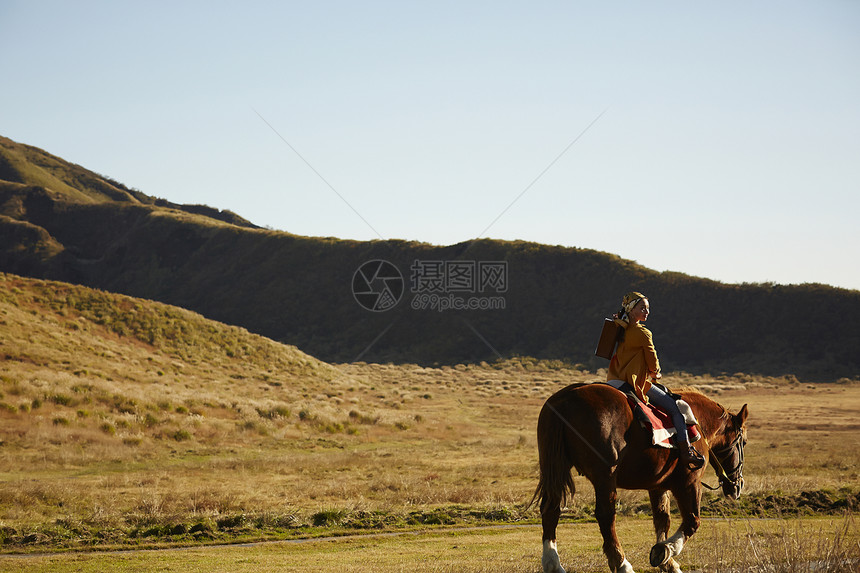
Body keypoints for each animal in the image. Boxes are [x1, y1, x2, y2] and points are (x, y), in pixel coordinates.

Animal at [536, 380, 748, 572]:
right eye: (743, 442)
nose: (737, 486)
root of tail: (565, 399)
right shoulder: (689, 482)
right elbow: (692, 521)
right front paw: (665, 550)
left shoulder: (658, 486)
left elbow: (663, 520)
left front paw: (667, 563)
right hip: (605, 477)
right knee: (606, 516)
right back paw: (622, 564)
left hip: (556, 469)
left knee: (550, 509)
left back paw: (553, 564)